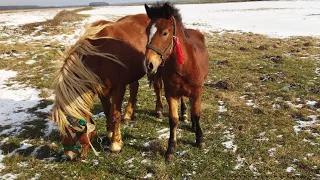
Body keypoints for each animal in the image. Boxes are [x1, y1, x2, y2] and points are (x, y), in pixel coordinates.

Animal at [144, 2, 210, 160]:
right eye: (147, 32)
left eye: (165, 33)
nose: (149, 64)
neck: (185, 64)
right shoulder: (171, 93)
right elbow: (173, 119)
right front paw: (170, 149)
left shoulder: (197, 92)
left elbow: (197, 114)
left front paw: (200, 139)